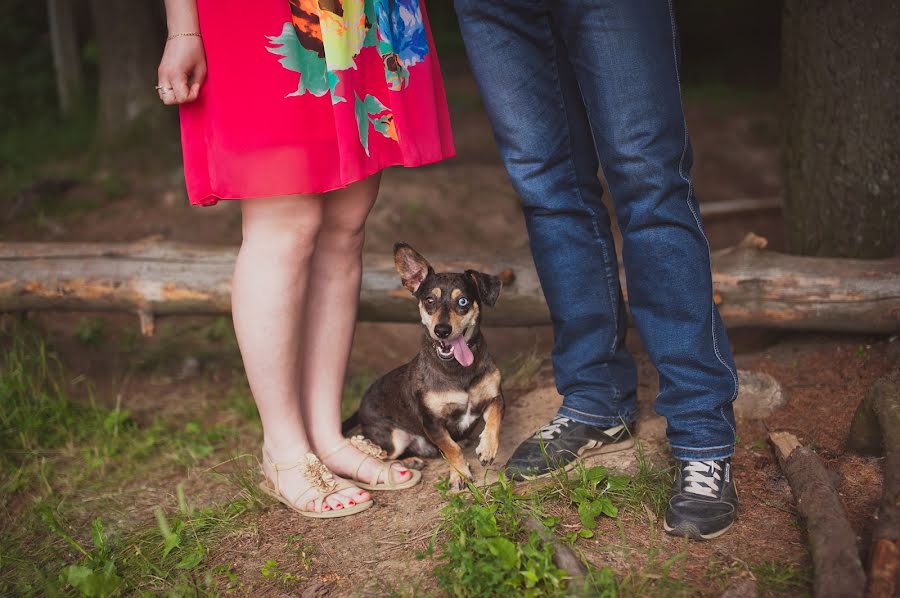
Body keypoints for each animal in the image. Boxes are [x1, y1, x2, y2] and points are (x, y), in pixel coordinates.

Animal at [342, 244, 506, 492]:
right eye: (429, 300)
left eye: (463, 301)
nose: (442, 331)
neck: (457, 370)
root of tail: (359, 407)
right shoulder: (432, 422)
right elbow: (451, 448)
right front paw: (459, 474)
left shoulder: (494, 397)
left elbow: (494, 420)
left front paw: (487, 447)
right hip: (394, 439)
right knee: (376, 453)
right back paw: (407, 462)